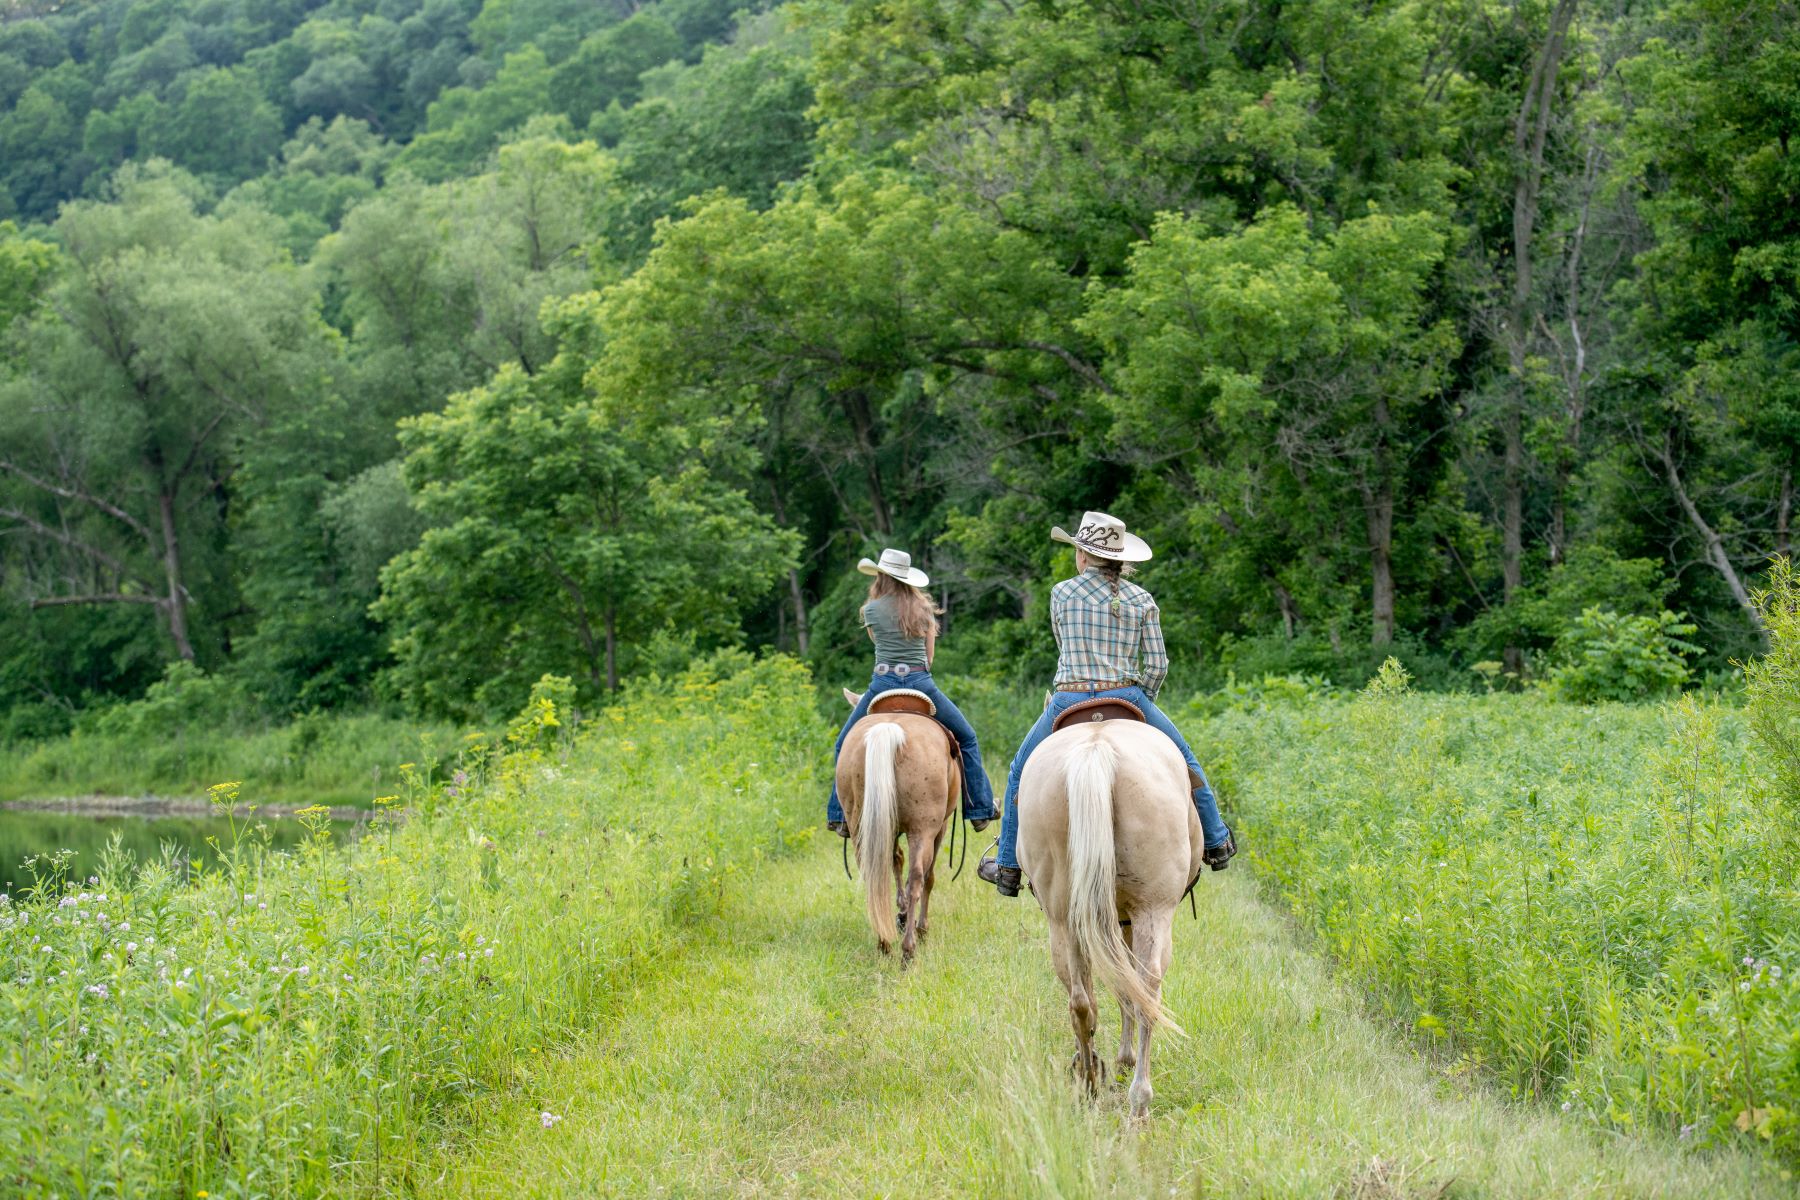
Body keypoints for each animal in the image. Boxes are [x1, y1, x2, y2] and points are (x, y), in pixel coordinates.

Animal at [835, 690, 964, 964]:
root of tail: (888, 729)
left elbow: (896, 861)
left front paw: (902, 914)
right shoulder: (940, 828)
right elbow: (928, 877)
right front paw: (918, 925)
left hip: (861, 828)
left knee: (874, 878)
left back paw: (884, 943)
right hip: (923, 831)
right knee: (918, 878)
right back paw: (908, 949)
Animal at [1022, 712, 1202, 1115]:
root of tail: (1095, 751)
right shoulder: (1128, 919)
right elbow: (1127, 989)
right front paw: (1124, 1059)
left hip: (1064, 917)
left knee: (1081, 1000)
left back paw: (1089, 1080)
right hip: (1153, 910)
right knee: (1146, 989)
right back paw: (1138, 1097)